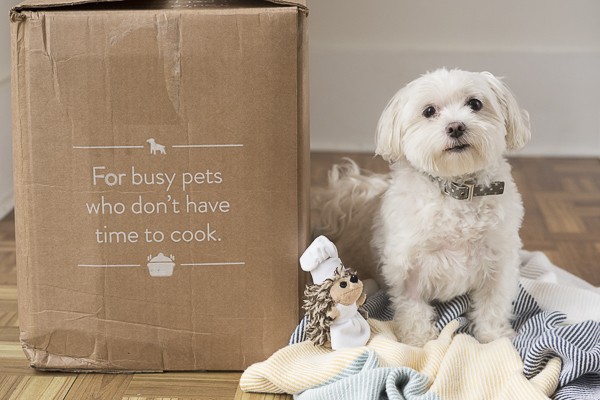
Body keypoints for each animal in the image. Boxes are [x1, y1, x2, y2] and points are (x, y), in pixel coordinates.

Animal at [314, 69, 528, 346]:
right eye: (429, 111)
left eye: (475, 104)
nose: (456, 126)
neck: (455, 190)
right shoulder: (408, 266)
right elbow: (412, 306)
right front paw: (418, 340)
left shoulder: (498, 261)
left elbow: (493, 303)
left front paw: (494, 337)